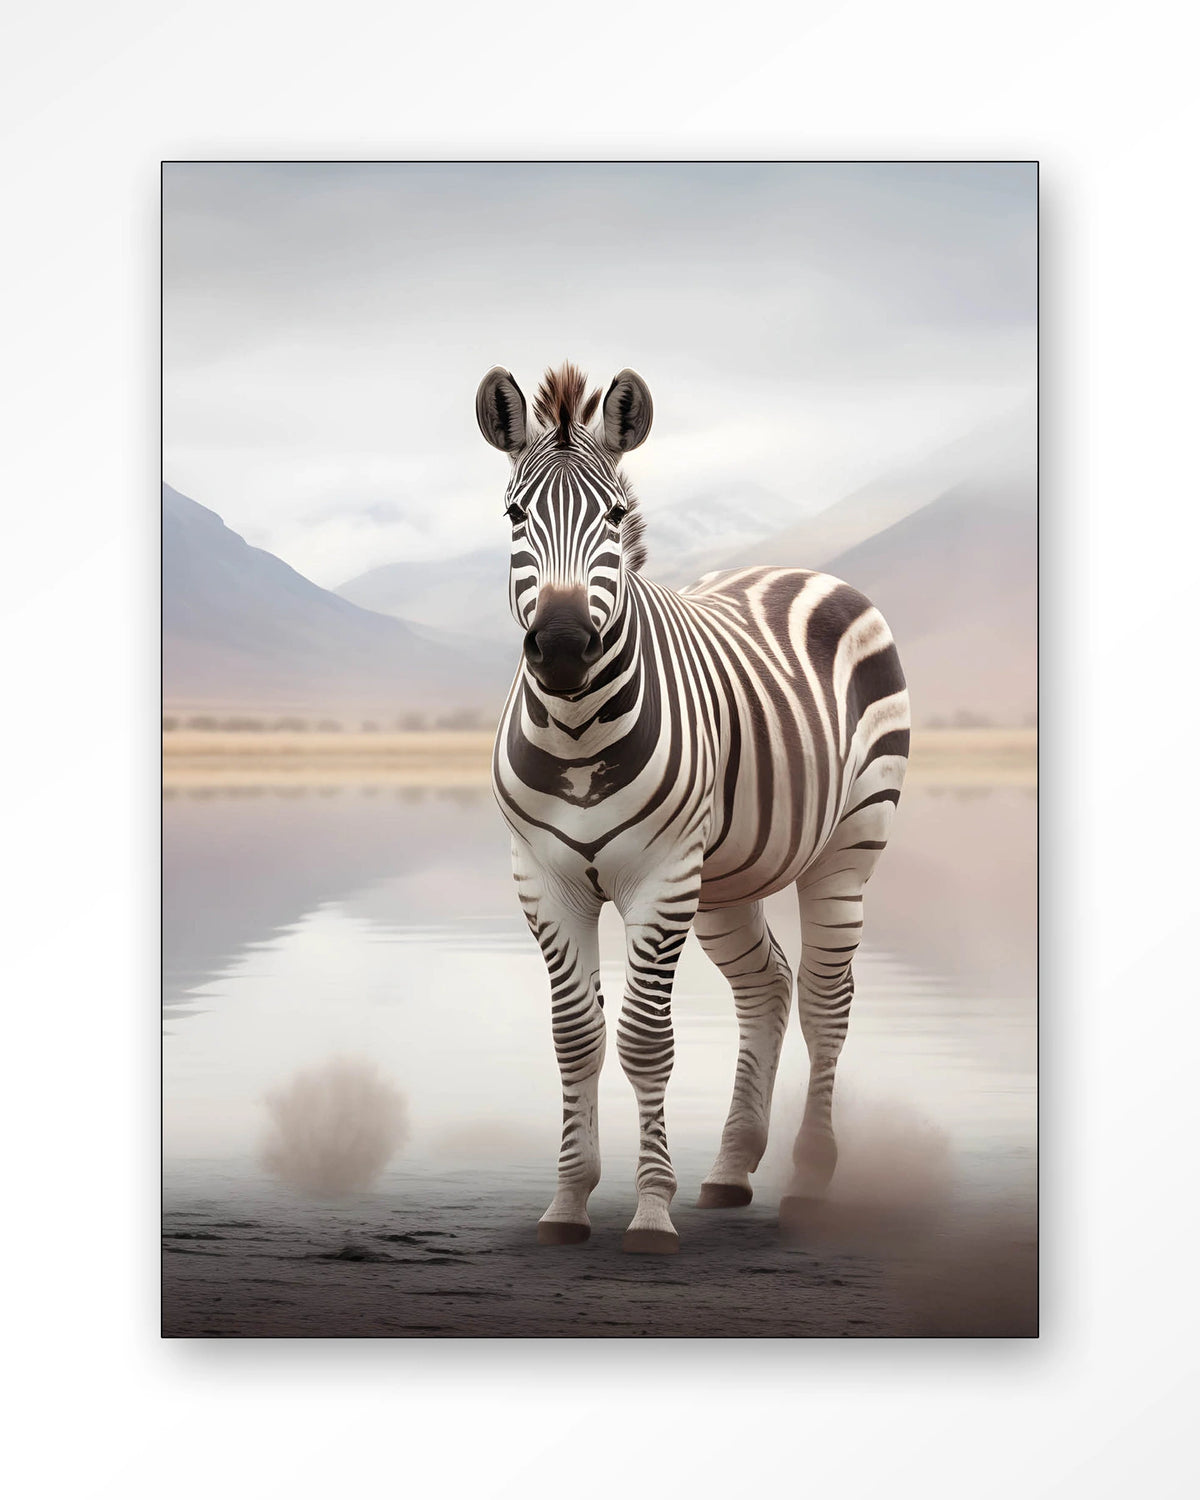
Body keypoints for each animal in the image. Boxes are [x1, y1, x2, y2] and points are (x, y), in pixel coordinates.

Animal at [477, 362, 910, 1254]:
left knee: (826, 1001)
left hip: (848, 846)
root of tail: (801, 569)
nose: (562, 647)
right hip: (727, 881)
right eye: (514, 515)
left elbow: (645, 1041)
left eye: (614, 516)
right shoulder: (543, 879)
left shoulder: (660, 876)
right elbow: (575, 1039)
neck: (576, 730)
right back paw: (732, 1169)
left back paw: (807, 1183)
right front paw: (568, 1202)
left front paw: (650, 1212)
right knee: (767, 987)